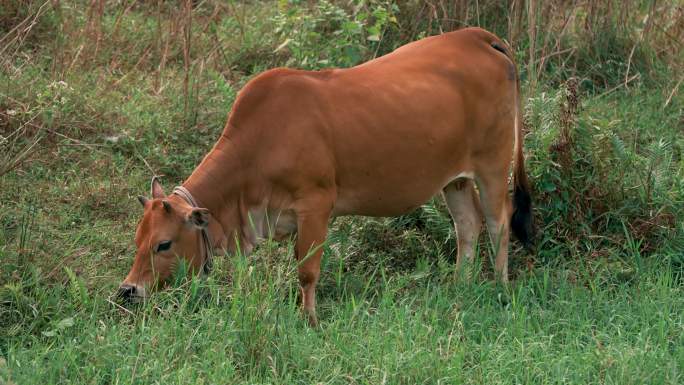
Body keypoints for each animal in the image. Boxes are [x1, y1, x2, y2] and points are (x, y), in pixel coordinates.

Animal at [117, 28, 536, 326]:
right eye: (138, 239)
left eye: (164, 244)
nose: (128, 290)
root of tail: (480, 37)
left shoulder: (316, 207)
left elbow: (307, 271)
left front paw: (311, 320)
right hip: (455, 179)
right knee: (468, 224)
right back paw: (460, 285)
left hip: (493, 165)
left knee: (498, 222)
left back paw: (499, 287)